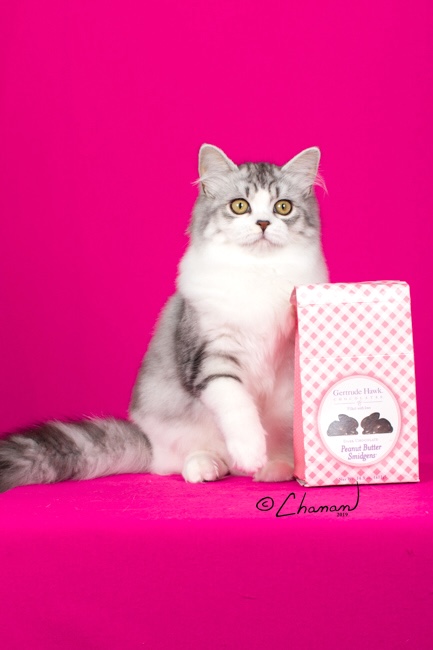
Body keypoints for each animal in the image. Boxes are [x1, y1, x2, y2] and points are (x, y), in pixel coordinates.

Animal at [0, 144, 329, 491]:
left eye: (283, 207)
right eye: (240, 206)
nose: (264, 223)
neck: (258, 270)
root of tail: (148, 443)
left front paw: (266, 460)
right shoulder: (211, 357)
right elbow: (238, 407)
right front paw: (251, 451)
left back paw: (274, 468)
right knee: (182, 462)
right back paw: (210, 467)